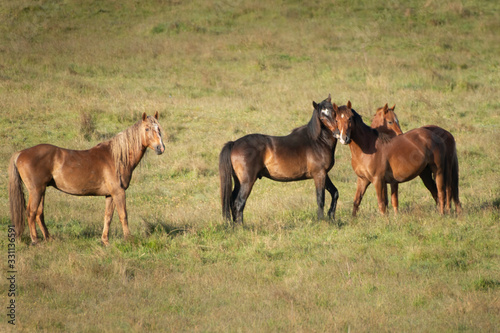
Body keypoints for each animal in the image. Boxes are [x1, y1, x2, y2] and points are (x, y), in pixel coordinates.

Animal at [9, 111, 166, 244]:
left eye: (159, 129)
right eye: (147, 129)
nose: (161, 148)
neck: (116, 158)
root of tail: (21, 153)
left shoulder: (110, 195)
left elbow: (108, 217)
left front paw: (105, 241)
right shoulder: (118, 192)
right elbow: (123, 215)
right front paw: (129, 239)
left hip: (42, 190)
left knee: (39, 214)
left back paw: (49, 238)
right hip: (36, 190)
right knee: (31, 212)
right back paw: (35, 240)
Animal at [220, 94, 340, 224]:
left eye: (334, 113)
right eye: (322, 117)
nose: (337, 133)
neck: (317, 141)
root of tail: (234, 143)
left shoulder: (324, 174)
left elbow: (335, 193)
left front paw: (331, 216)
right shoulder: (319, 174)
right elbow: (320, 199)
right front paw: (321, 220)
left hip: (239, 181)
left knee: (232, 201)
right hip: (247, 181)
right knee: (239, 203)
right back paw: (241, 226)